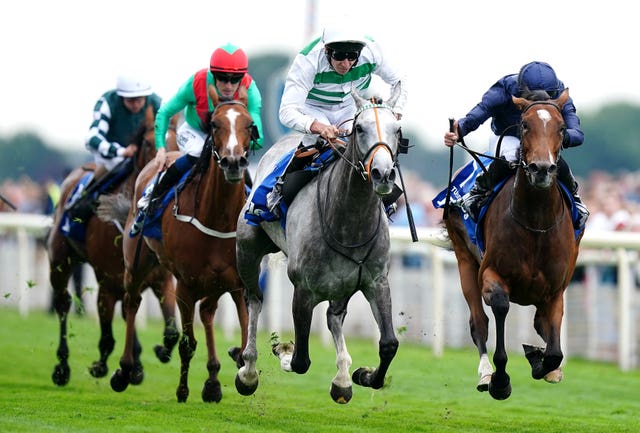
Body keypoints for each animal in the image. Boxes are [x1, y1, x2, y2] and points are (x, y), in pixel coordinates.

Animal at [46, 106, 179, 386]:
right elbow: (107, 334)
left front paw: (152, 355)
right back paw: (62, 366)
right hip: (60, 261)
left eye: (179, 140)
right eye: (149, 143)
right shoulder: (108, 281)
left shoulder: (161, 279)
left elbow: (171, 330)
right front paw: (102, 366)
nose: (169, 165)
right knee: (63, 302)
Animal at [107, 86, 252, 404]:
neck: (218, 217)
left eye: (249, 125)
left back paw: (212, 380)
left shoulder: (237, 282)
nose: (233, 162)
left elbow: (246, 333)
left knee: (207, 312)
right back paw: (125, 370)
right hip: (137, 264)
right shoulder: (185, 285)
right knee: (132, 303)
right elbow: (187, 343)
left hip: (212, 282)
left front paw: (243, 373)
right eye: (215, 125)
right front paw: (183, 390)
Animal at [235, 83, 404, 402]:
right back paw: (248, 371)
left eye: (397, 129)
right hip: (247, 249)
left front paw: (363, 375)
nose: (383, 174)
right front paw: (283, 350)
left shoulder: (376, 281)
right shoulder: (303, 288)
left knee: (333, 316)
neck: (349, 222)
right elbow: (300, 360)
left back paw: (342, 378)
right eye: (359, 128)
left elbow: (389, 343)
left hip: (343, 286)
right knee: (254, 300)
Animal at [442, 89, 584, 400]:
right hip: (464, 259)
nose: (541, 169)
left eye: (561, 128)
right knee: (479, 324)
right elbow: (499, 307)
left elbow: (554, 352)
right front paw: (500, 380)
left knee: (540, 325)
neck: (535, 223)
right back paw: (485, 374)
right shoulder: (491, 274)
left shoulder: (555, 290)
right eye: (525, 125)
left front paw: (541, 361)